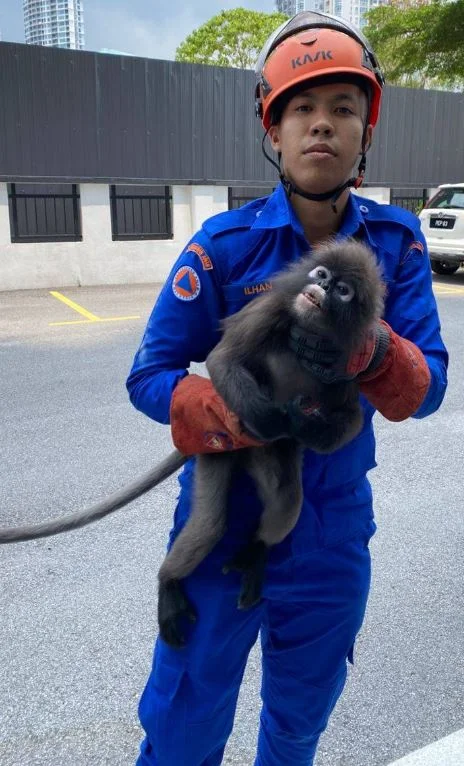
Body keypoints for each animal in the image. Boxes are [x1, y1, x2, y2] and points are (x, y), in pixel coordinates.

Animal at [0, 240, 384, 650]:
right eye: (322, 275)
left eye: (342, 291)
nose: (323, 288)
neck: (310, 326)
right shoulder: (272, 307)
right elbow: (223, 358)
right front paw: (277, 420)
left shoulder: (351, 354)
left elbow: (349, 417)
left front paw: (302, 424)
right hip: (215, 447)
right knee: (210, 522)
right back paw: (169, 582)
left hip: (268, 453)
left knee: (285, 496)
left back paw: (255, 554)